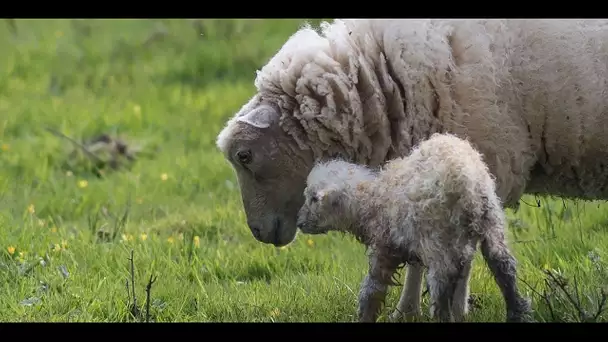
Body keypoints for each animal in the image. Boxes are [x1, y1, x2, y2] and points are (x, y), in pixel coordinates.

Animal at [296, 132, 532, 322]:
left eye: (312, 198)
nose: (299, 223)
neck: (371, 199)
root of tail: (466, 181)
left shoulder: (383, 247)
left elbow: (372, 289)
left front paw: (365, 316)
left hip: (439, 239)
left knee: (441, 287)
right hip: (491, 222)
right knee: (504, 267)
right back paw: (517, 313)